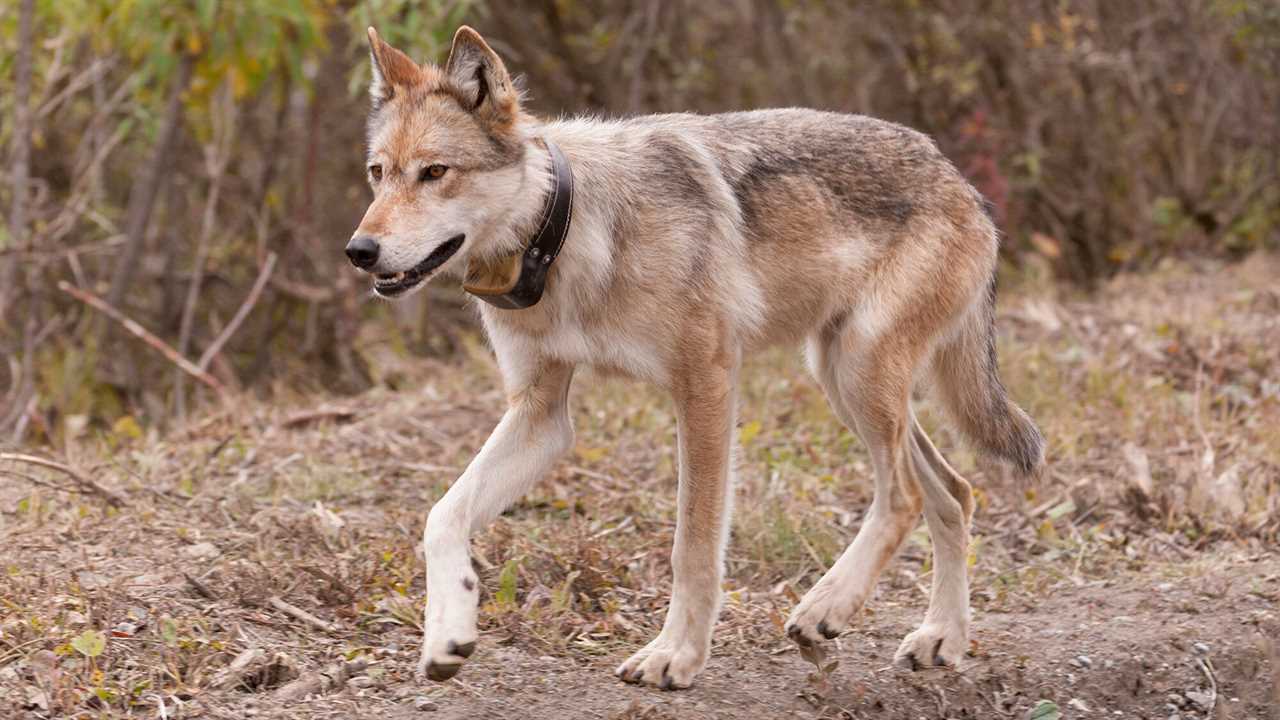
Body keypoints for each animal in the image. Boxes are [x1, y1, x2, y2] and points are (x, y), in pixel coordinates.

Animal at [348, 26, 1039, 691]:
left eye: (435, 172)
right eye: (379, 174)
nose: (360, 250)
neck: (570, 233)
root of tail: (961, 182)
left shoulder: (705, 385)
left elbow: (694, 544)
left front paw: (675, 655)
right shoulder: (542, 417)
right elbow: (442, 515)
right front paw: (447, 635)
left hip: (859, 373)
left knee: (905, 498)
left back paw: (826, 609)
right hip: (842, 379)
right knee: (955, 493)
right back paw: (941, 638)